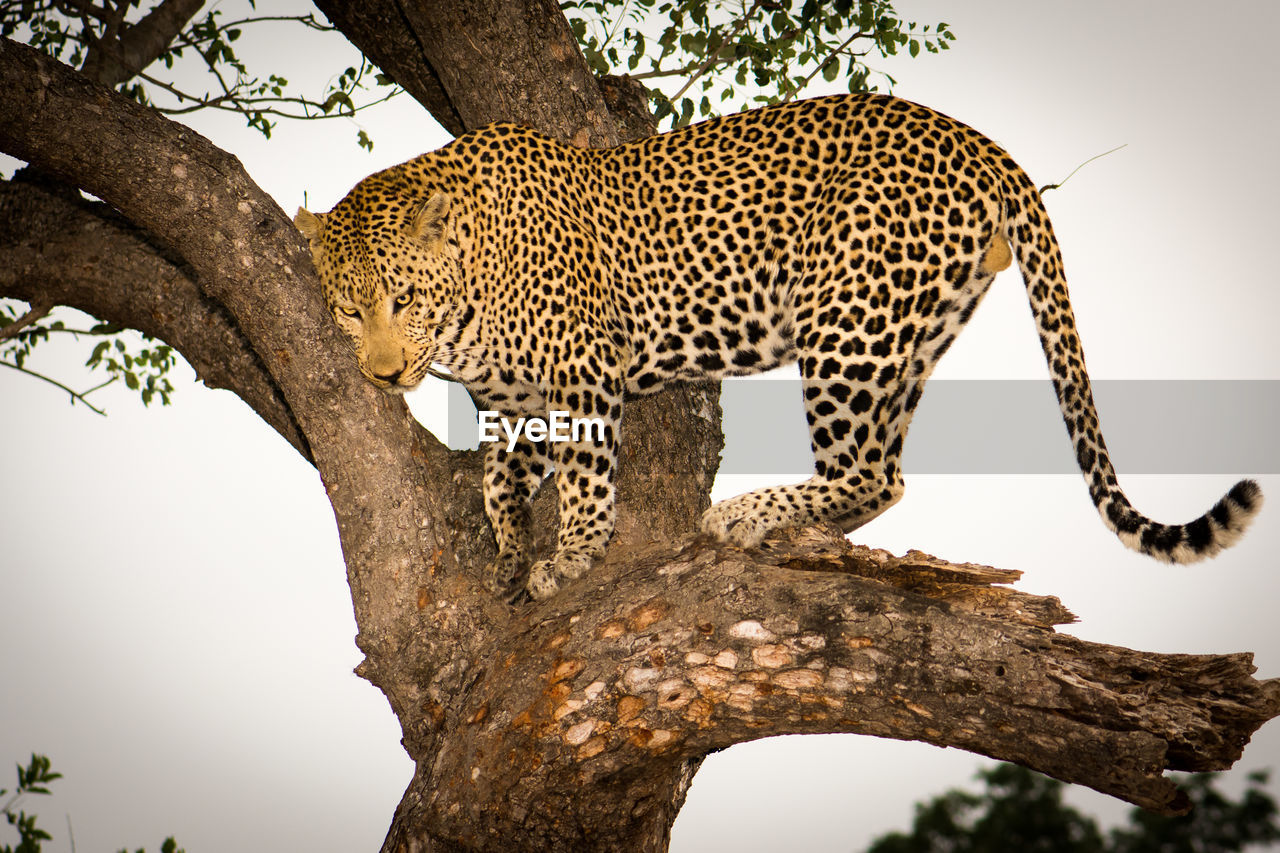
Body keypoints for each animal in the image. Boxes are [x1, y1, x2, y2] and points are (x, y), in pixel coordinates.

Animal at [294, 91, 1264, 596]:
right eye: (345, 311)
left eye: (401, 298)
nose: (382, 373)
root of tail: (980, 140)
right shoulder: (513, 400)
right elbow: (501, 477)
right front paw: (506, 543)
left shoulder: (582, 371)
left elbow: (587, 478)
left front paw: (570, 554)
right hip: (909, 332)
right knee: (883, 473)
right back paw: (782, 521)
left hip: (848, 319)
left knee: (871, 471)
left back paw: (741, 514)